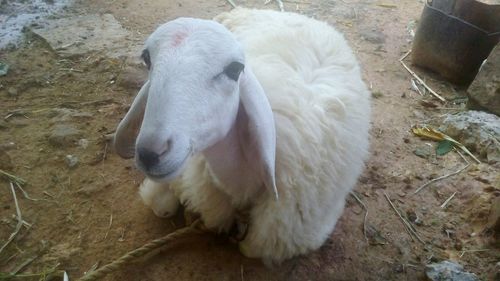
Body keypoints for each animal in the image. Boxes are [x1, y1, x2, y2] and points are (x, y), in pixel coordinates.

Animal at [114, 7, 372, 262]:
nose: (150, 153)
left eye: (234, 69)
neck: (241, 186)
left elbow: (249, 249)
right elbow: (162, 206)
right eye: (147, 58)